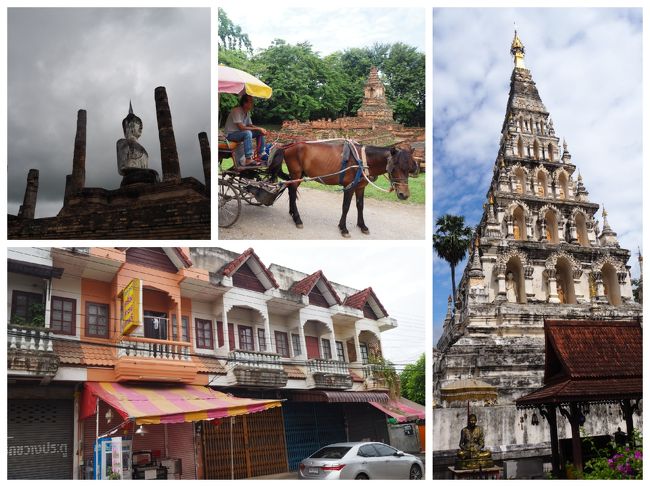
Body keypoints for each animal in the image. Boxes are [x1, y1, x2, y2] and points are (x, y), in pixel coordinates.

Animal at [266, 140, 418, 237]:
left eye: (409, 168)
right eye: (394, 167)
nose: (404, 194)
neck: (363, 160)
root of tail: (286, 146)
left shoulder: (360, 187)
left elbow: (360, 206)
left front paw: (362, 226)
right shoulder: (349, 187)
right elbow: (346, 207)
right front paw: (343, 228)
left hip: (298, 175)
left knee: (290, 190)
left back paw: (292, 213)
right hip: (296, 173)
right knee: (292, 191)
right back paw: (297, 219)